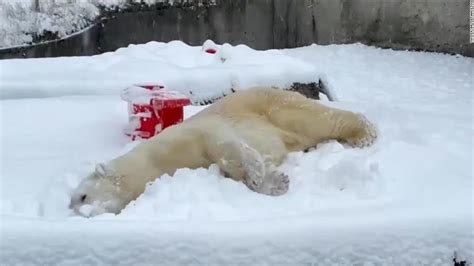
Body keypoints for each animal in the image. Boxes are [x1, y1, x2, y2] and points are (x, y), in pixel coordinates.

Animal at [69, 87, 378, 216]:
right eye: (72, 205)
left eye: (82, 196)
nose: (83, 213)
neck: (153, 161)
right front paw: (275, 182)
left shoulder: (186, 136)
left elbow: (221, 143)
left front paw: (259, 173)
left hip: (273, 105)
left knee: (314, 118)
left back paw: (364, 133)